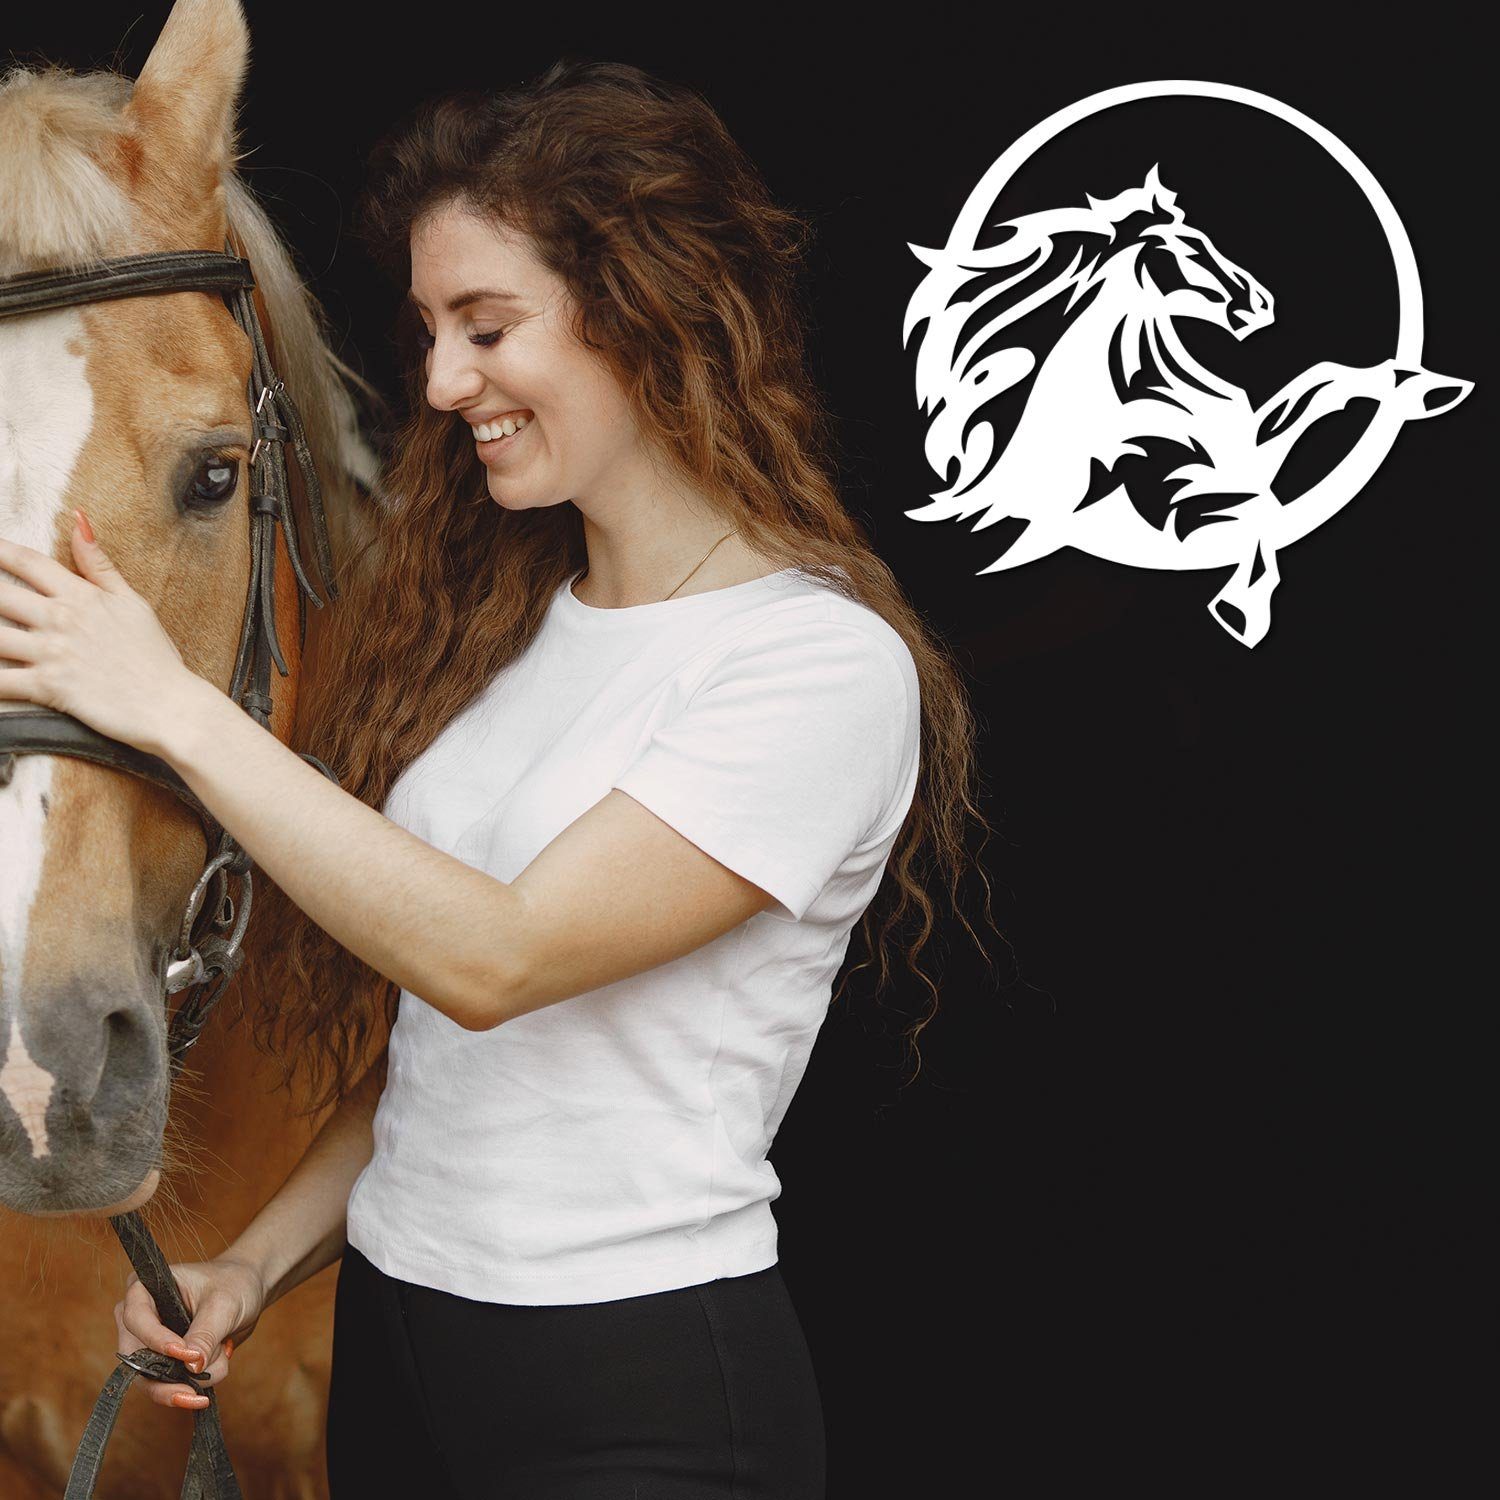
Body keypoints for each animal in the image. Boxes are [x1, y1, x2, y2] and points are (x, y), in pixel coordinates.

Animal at [904, 165, 1473, 645]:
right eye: (1194, 250)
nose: (1261, 306)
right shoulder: (1172, 501)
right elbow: (1257, 510)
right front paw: (1242, 608)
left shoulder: (1243, 453)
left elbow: (1322, 384)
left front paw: (1429, 390)